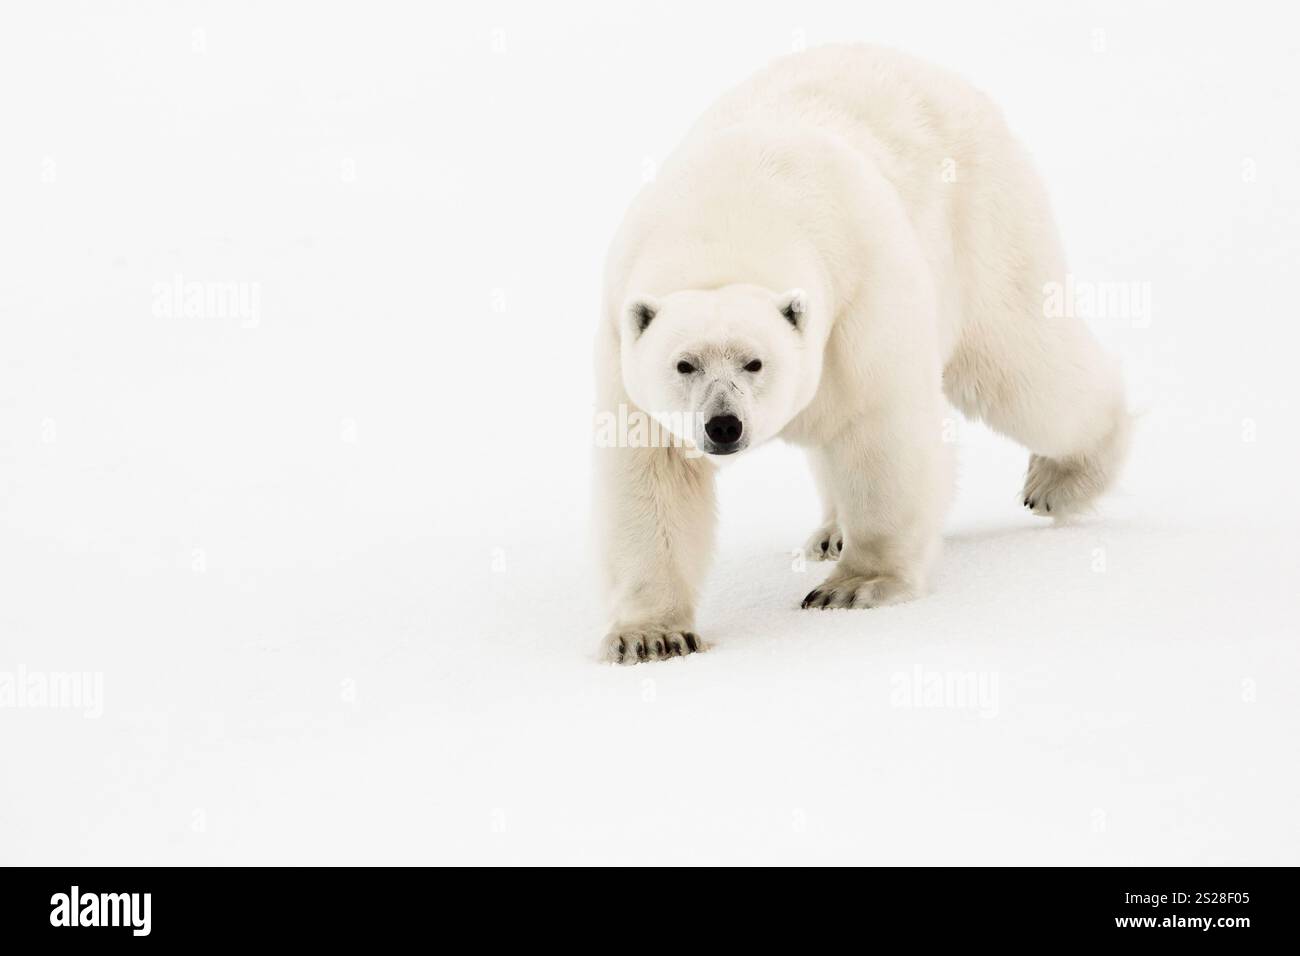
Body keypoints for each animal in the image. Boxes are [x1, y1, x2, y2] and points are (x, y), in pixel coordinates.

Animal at [593, 45, 1130, 664]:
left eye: (755, 362)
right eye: (684, 364)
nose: (723, 426)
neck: (728, 221)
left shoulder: (859, 301)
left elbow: (882, 431)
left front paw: (856, 586)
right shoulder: (622, 341)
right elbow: (649, 472)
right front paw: (650, 635)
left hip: (985, 227)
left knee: (1023, 369)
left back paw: (1061, 479)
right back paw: (831, 531)